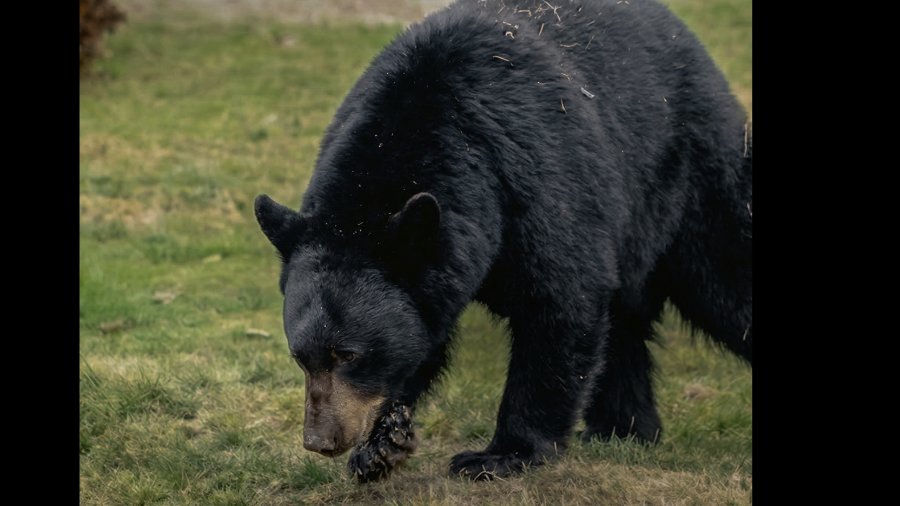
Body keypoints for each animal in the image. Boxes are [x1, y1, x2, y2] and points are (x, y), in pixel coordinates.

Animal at [255, 0, 752, 483]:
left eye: (348, 353)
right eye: (300, 357)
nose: (320, 441)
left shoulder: (537, 180)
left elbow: (560, 303)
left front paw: (500, 456)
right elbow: (417, 339)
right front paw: (381, 446)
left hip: (689, 172)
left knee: (727, 276)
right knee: (623, 323)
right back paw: (622, 429)